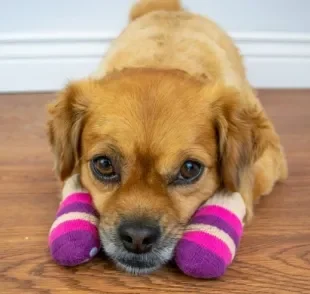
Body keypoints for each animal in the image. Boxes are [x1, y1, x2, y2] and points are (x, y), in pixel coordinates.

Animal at [46, 0, 288, 276]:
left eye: (190, 169)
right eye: (104, 164)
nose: (137, 237)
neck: (164, 61)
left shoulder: (270, 159)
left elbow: (241, 189)